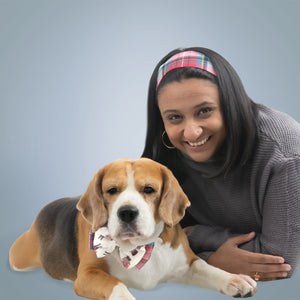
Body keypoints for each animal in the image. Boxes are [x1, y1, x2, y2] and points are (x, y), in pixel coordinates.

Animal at [9, 158, 258, 298]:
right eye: (111, 190)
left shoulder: (188, 264)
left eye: (148, 189)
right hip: (18, 259)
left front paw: (235, 279)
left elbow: (208, 268)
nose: (127, 212)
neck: (138, 247)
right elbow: (116, 285)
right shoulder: (87, 276)